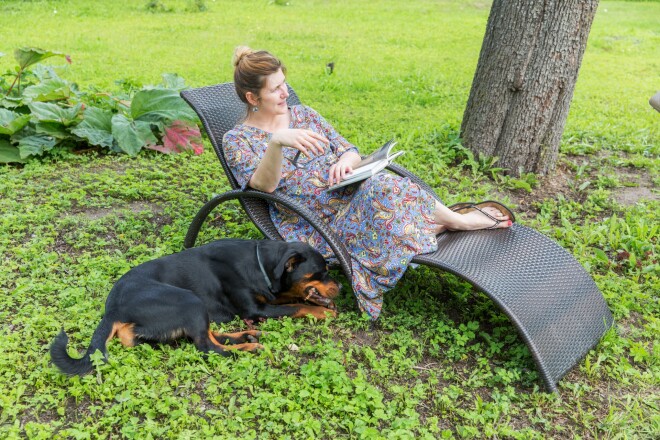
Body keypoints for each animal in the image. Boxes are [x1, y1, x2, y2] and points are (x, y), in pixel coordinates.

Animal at [50, 239, 340, 376]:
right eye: (321, 272)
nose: (339, 286)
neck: (261, 264)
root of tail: (112, 309)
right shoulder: (254, 310)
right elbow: (296, 306)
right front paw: (324, 311)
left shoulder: (266, 299)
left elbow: (293, 300)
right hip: (190, 300)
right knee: (208, 348)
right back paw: (249, 346)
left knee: (207, 336)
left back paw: (245, 336)